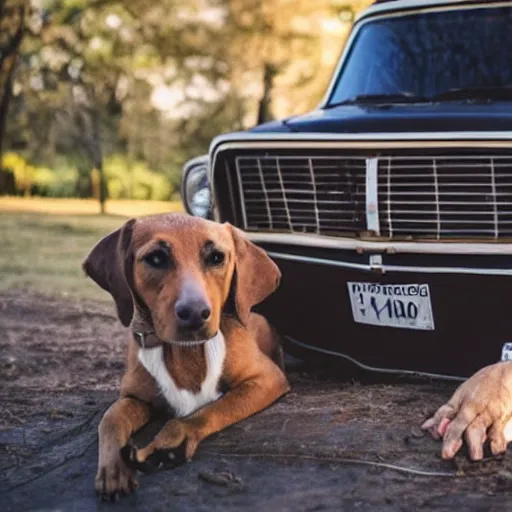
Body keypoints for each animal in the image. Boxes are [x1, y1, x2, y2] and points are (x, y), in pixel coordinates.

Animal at [86, 212, 290, 500]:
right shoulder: (135, 397)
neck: (184, 353)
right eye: (156, 258)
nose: (195, 313)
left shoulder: (267, 379)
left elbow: (206, 411)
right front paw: (113, 468)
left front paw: (170, 440)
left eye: (216, 257)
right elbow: (111, 419)